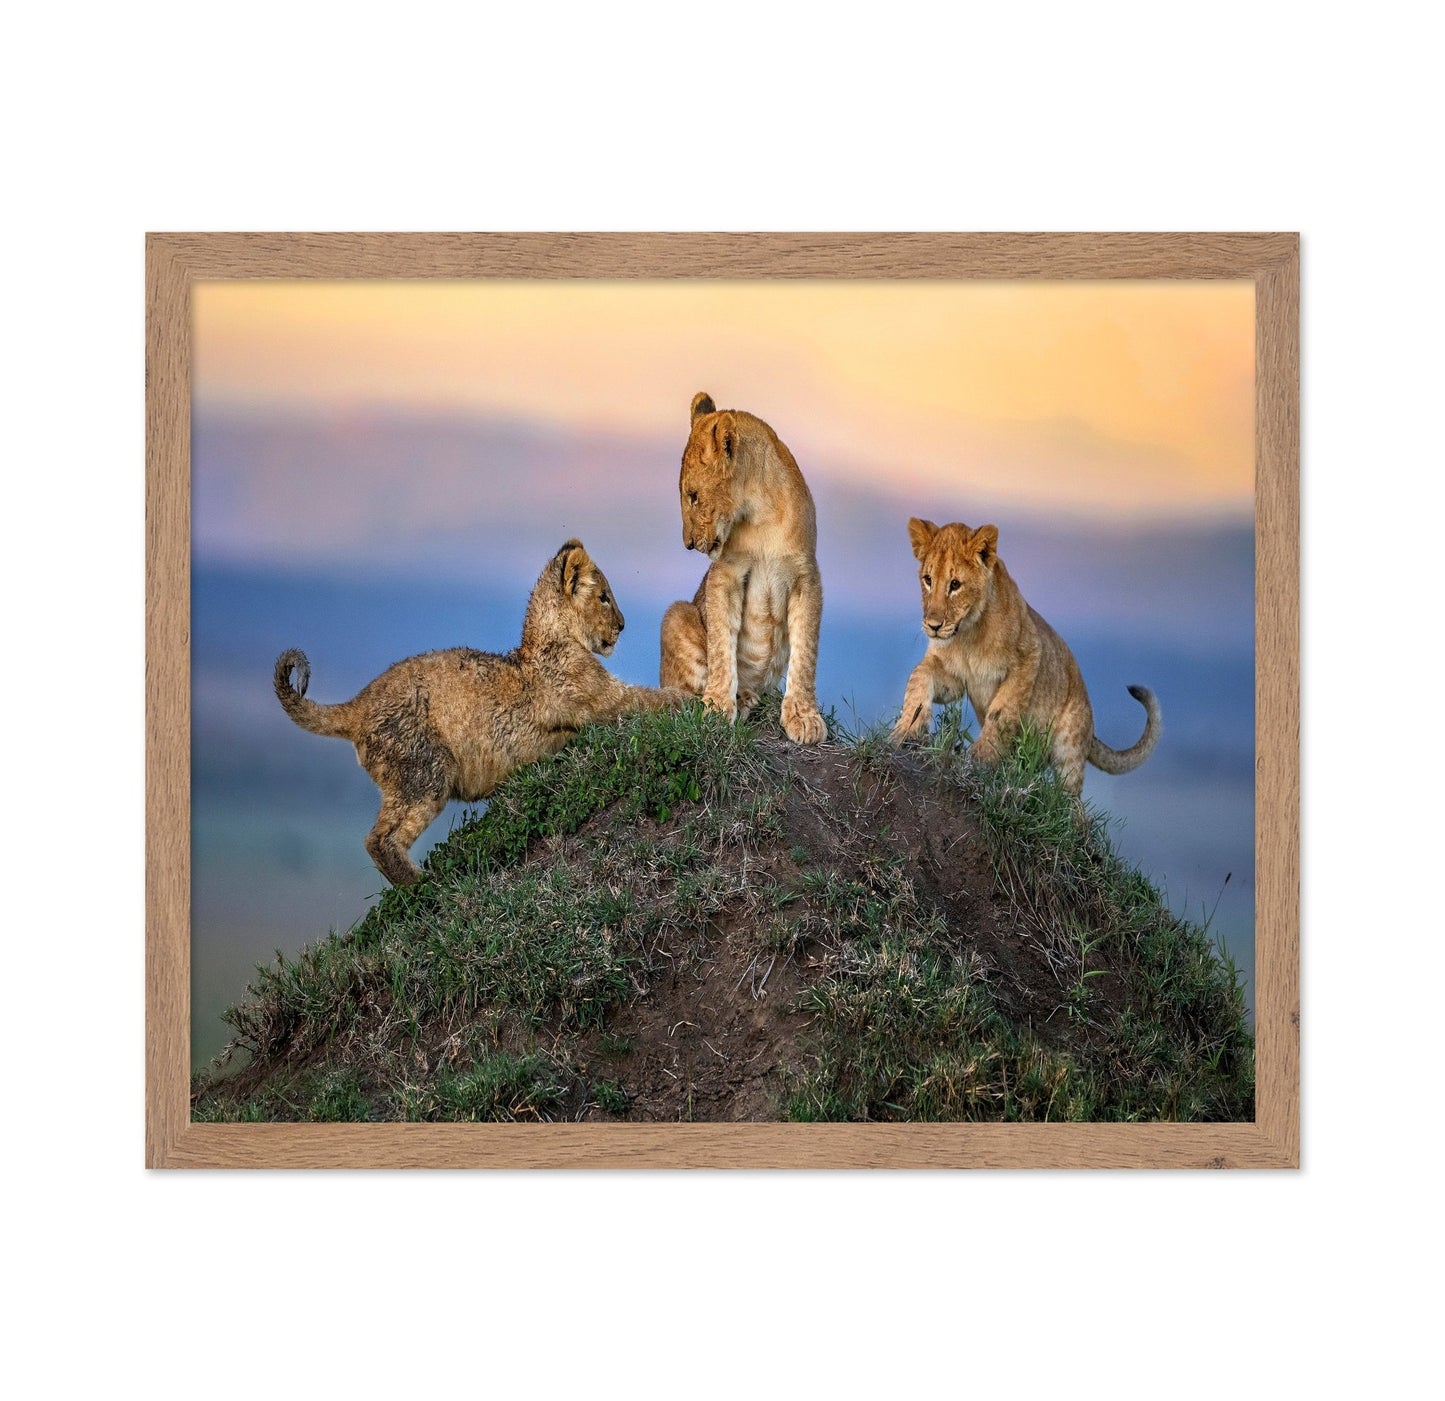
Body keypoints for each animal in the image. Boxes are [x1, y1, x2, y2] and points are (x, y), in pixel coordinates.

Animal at [274, 539, 689, 886]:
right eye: (604, 597)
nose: (622, 625)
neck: (553, 638)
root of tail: (358, 704)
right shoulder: (606, 701)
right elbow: (653, 699)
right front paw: (693, 700)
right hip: (425, 772)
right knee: (380, 839)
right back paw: (425, 887)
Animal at [659, 391, 827, 744]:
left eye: (693, 496)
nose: (688, 544)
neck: (761, 513)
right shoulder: (726, 573)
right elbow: (722, 646)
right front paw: (718, 708)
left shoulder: (807, 577)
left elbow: (805, 652)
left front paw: (803, 717)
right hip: (677, 614)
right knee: (679, 693)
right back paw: (740, 698)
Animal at [889, 517, 1161, 796]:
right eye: (928, 580)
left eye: (955, 584)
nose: (933, 626)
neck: (968, 634)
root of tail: (1091, 728)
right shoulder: (955, 678)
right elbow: (918, 675)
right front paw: (906, 730)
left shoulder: (1028, 657)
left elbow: (1001, 712)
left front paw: (979, 758)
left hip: (1069, 747)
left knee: (1070, 801)